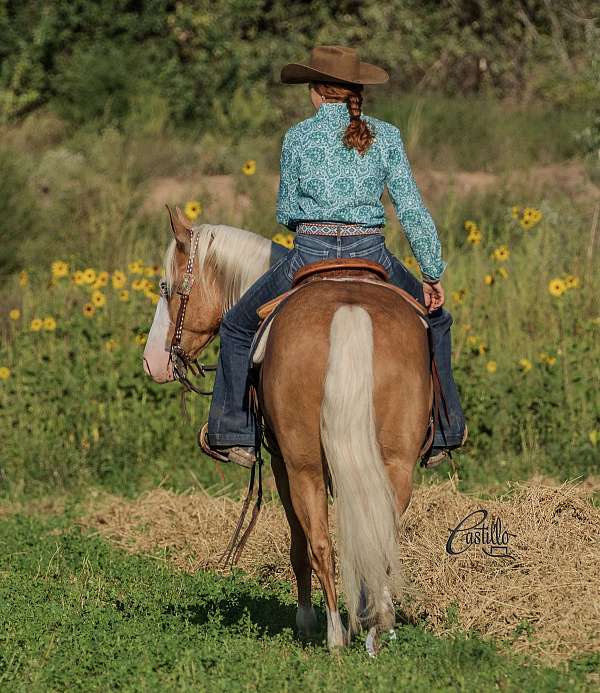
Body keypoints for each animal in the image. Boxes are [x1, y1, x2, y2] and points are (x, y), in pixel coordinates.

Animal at [143, 208, 428, 652]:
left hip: (302, 465)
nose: (152, 361)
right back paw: (376, 627)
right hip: (396, 464)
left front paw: (306, 619)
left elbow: (298, 543)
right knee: (380, 536)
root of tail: (348, 310)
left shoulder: (280, 462)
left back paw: (333, 634)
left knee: (320, 543)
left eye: (165, 287)